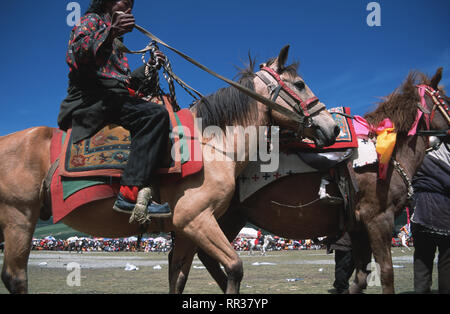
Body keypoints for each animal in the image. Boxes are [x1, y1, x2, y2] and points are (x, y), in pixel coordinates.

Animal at [191, 67, 450, 294]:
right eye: (446, 100)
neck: (385, 152)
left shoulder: (358, 228)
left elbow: (361, 278)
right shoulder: (378, 219)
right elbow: (386, 273)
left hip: (229, 219)